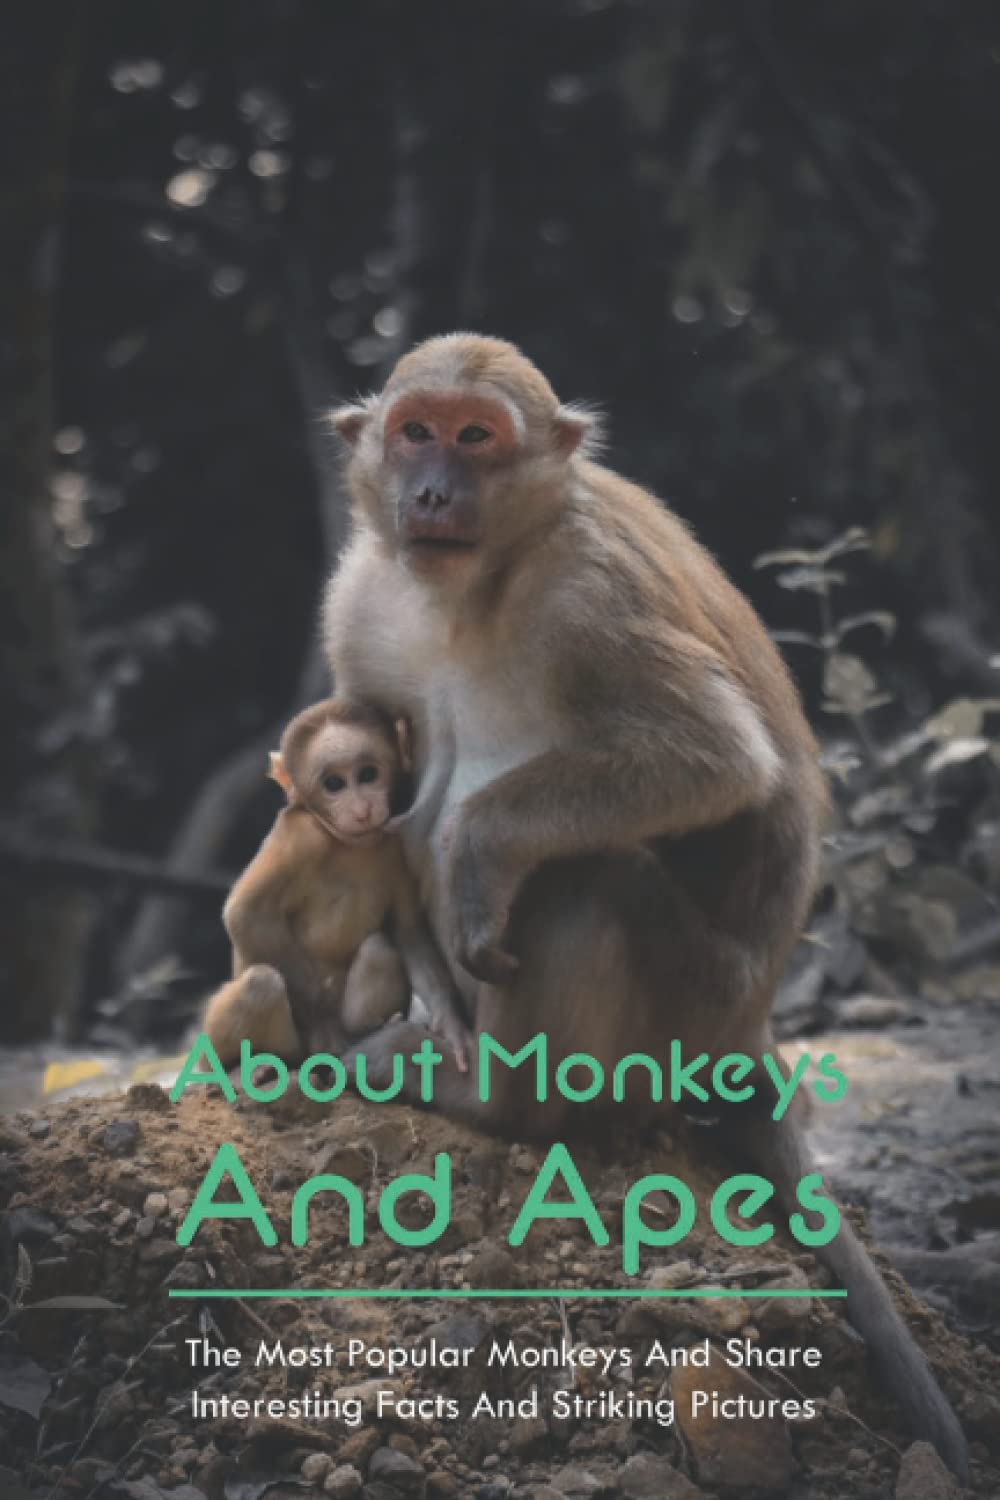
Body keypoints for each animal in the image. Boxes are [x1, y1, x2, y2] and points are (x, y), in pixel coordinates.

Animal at [201, 698, 469, 1071]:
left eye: (368, 774)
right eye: (334, 784)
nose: (362, 808)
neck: (345, 843)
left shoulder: (397, 843)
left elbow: (408, 931)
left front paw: (451, 1025)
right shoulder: (299, 836)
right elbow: (246, 914)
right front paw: (325, 1029)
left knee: (379, 948)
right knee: (261, 983)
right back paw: (257, 1065)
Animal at [319, 333, 968, 1476]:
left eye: (475, 436)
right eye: (414, 431)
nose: (432, 489)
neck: (473, 588)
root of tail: (752, 1025)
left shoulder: (592, 595)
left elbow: (713, 758)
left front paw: (478, 850)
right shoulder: (362, 601)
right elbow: (374, 793)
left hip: (685, 1002)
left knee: (583, 876)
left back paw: (495, 1101)